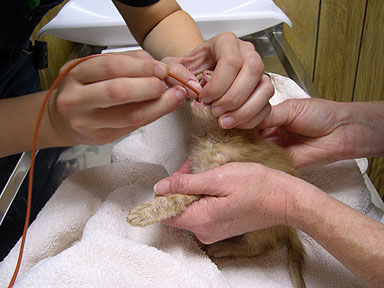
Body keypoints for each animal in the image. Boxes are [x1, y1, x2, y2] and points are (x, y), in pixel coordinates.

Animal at [126, 71, 306, 288]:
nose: (205, 72)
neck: (218, 136)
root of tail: (289, 228)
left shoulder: (207, 180)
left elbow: (175, 198)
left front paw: (143, 213)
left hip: (259, 229)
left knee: (258, 247)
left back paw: (221, 248)